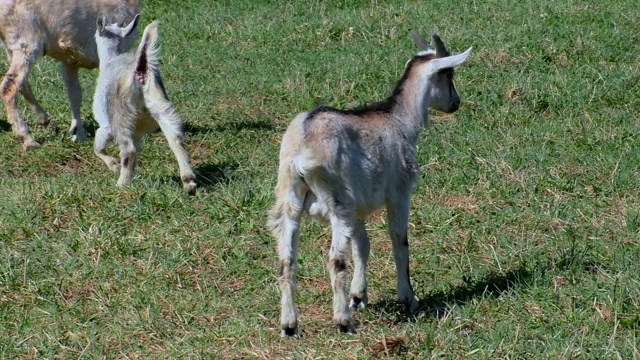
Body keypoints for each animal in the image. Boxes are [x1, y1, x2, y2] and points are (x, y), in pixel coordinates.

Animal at [0, 0, 140, 149]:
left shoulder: (70, 59)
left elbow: (74, 93)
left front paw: (79, 133)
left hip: (11, 46)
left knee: (22, 84)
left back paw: (47, 122)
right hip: (25, 42)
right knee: (9, 87)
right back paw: (28, 139)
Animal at [94, 14, 195, 194]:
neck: (111, 59)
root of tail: (140, 69)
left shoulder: (105, 124)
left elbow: (98, 148)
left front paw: (114, 166)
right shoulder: (137, 132)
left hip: (121, 115)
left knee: (128, 150)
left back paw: (121, 185)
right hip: (160, 105)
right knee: (175, 138)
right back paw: (188, 182)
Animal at [268, 32, 472, 336]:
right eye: (448, 74)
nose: (455, 102)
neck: (399, 120)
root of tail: (303, 146)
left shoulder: (359, 208)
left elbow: (362, 246)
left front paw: (359, 297)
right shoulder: (399, 193)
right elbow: (399, 240)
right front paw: (409, 299)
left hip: (289, 198)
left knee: (286, 262)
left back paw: (289, 325)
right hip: (337, 200)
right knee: (335, 260)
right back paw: (342, 321)